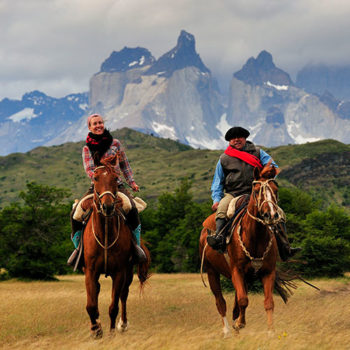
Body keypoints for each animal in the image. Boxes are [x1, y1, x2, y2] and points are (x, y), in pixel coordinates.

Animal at [84, 154, 151, 338]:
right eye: (95, 178)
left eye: (115, 178)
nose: (107, 206)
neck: (105, 235)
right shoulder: (90, 271)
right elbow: (91, 305)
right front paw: (96, 329)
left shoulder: (119, 272)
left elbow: (113, 306)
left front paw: (112, 332)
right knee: (98, 291)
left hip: (128, 272)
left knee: (123, 295)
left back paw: (123, 325)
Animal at [200, 163, 290, 338]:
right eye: (256, 190)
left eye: (275, 189)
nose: (270, 215)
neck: (255, 236)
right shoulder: (237, 270)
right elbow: (243, 300)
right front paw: (239, 324)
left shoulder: (267, 272)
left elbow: (268, 302)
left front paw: (270, 331)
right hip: (211, 271)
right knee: (220, 301)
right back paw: (227, 330)